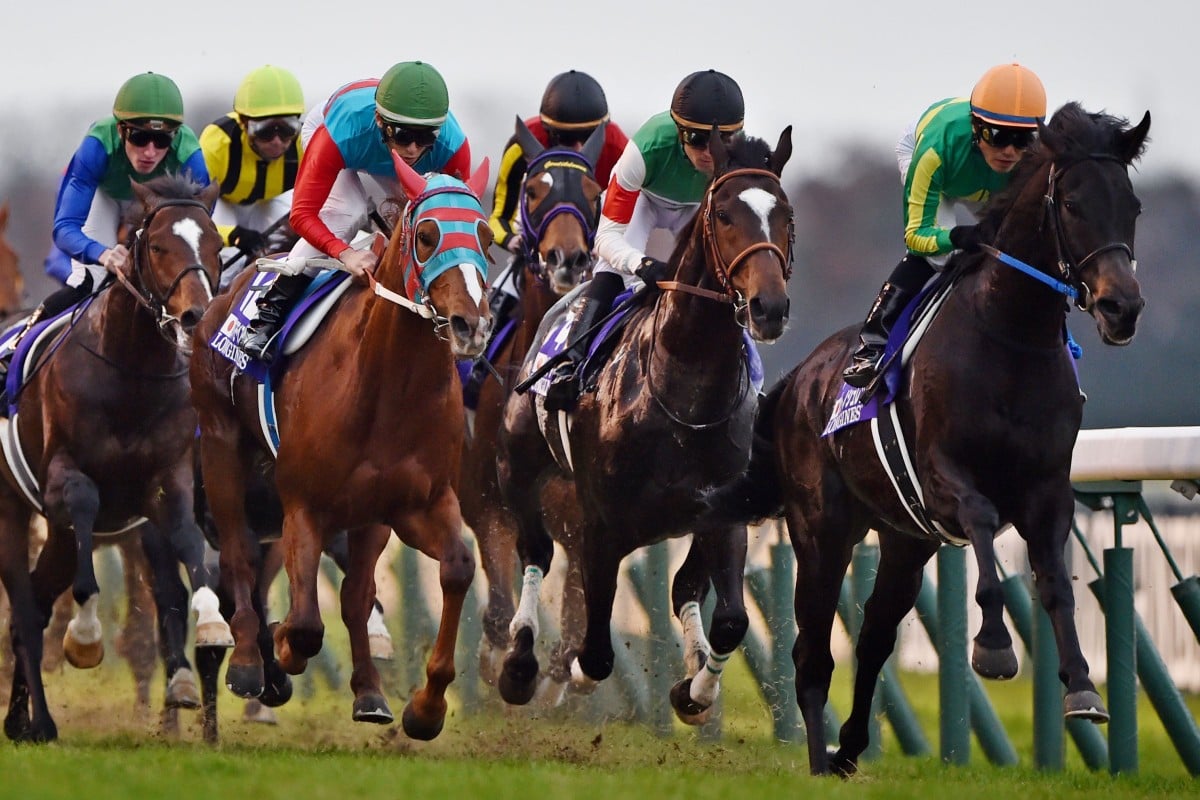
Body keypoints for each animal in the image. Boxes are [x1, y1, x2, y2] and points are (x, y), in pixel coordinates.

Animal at [0, 172, 226, 743]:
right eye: (159, 246)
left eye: (216, 245)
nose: (194, 315)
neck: (130, 373)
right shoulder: (66, 477)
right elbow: (84, 525)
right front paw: (84, 636)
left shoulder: (168, 481)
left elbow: (189, 544)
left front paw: (211, 624)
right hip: (12, 510)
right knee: (25, 604)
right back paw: (40, 722)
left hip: (55, 534)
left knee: (34, 605)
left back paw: (21, 721)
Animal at [194, 153, 494, 743]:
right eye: (428, 235)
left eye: (486, 235)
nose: (472, 324)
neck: (388, 386)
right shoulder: (303, 506)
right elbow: (307, 624)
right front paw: (279, 650)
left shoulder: (417, 504)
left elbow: (455, 569)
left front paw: (425, 708)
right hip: (221, 452)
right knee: (239, 555)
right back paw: (250, 663)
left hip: (365, 514)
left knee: (354, 594)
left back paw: (369, 693)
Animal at [460, 115, 604, 686]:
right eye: (533, 189)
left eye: (594, 192)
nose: (567, 258)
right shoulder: (488, 505)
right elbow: (500, 614)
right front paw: (502, 660)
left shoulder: (583, 520)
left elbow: (572, 629)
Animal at [496, 128, 796, 724]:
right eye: (724, 214)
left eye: (786, 215)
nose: (768, 307)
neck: (685, 393)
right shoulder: (602, 524)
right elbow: (594, 652)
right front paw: (563, 678)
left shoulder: (723, 515)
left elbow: (731, 619)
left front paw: (695, 691)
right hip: (516, 467)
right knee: (535, 552)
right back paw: (519, 664)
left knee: (684, 588)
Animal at [705, 100, 1147, 777]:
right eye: (1072, 203)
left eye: (1133, 205)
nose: (1122, 307)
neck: (1010, 335)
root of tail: (798, 377)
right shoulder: (943, 478)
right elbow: (985, 523)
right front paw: (993, 646)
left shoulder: (1049, 491)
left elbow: (1055, 585)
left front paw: (1082, 688)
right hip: (823, 531)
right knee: (812, 651)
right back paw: (818, 757)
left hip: (905, 542)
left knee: (873, 639)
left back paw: (849, 747)